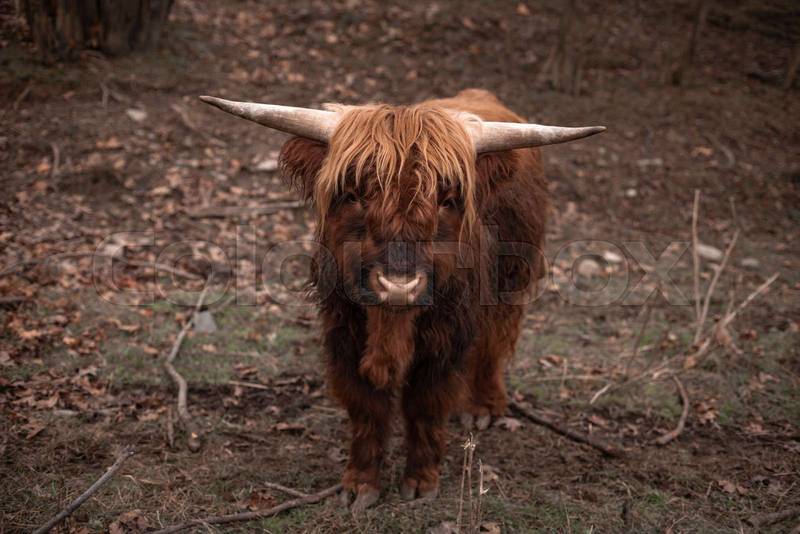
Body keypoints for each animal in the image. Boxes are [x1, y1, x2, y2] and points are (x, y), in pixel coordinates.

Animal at [201, 89, 604, 511]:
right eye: (353, 195)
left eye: (447, 199)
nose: (398, 285)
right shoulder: (343, 331)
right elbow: (365, 405)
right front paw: (360, 484)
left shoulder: (446, 337)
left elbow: (426, 405)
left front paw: (422, 481)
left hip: (512, 278)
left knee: (496, 340)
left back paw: (484, 406)